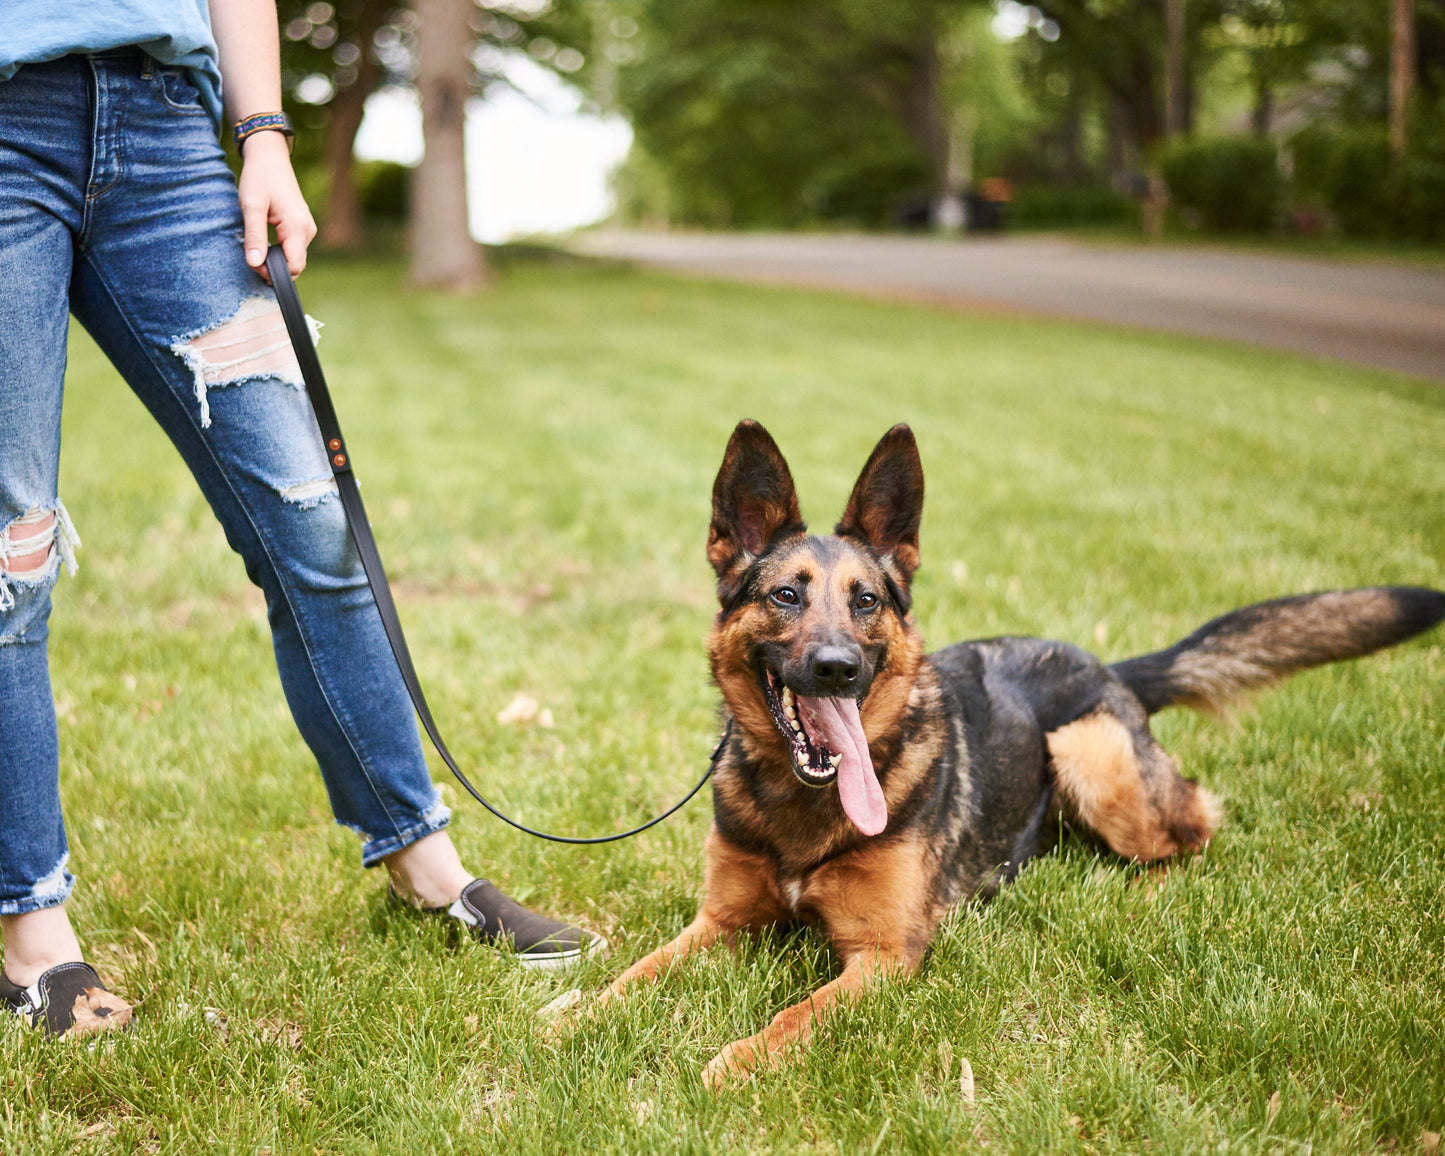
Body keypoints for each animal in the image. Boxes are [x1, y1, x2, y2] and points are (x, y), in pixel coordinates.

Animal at [589, 419, 1445, 1086]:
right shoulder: (719, 923)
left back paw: (1138, 890)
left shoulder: (884, 955)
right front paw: (574, 1020)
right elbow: (630, 978)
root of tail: (1109, 667)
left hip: (1090, 751)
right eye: (785, 596)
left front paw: (735, 1060)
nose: (837, 669)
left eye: (865, 601)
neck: (804, 805)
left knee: (1195, 825)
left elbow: (796, 1015)